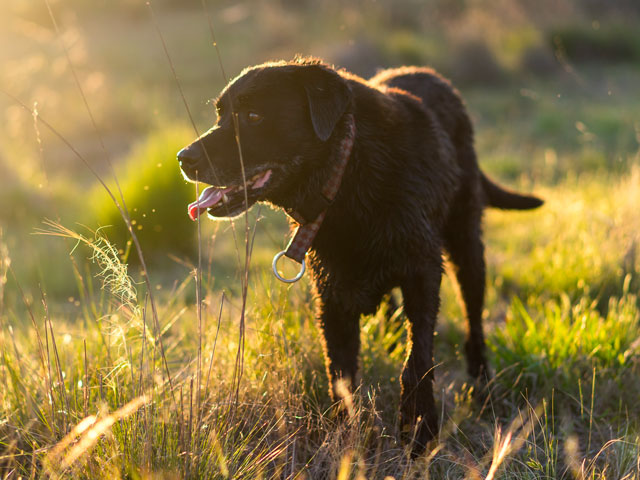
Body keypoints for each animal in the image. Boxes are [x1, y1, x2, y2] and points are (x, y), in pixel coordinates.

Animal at [178, 58, 544, 448]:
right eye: (220, 115)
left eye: (254, 115)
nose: (184, 158)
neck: (350, 174)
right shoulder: (332, 297)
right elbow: (340, 377)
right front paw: (344, 440)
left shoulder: (424, 273)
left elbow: (417, 362)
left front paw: (419, 431)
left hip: (467, 244)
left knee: (473, 319)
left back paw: (481, 384)